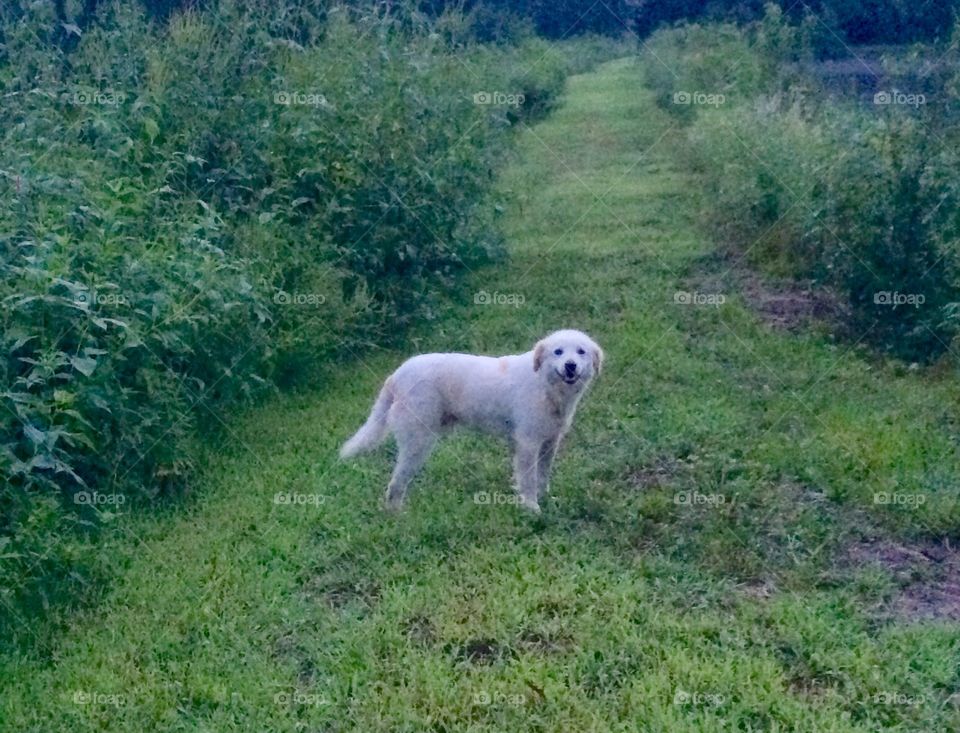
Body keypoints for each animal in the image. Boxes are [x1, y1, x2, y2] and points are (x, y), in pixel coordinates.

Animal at [342, 328, 604, 512]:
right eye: (558, 352)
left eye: (580, 351)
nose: (570, 366)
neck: (545, 384)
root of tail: (397, 374)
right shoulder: (528, 444)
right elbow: (529, 481)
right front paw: (532, 509)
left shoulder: (549, 442)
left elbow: (542, 477)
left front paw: (546, 499)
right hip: (418, 443)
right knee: (395, 485)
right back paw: (397, 514)